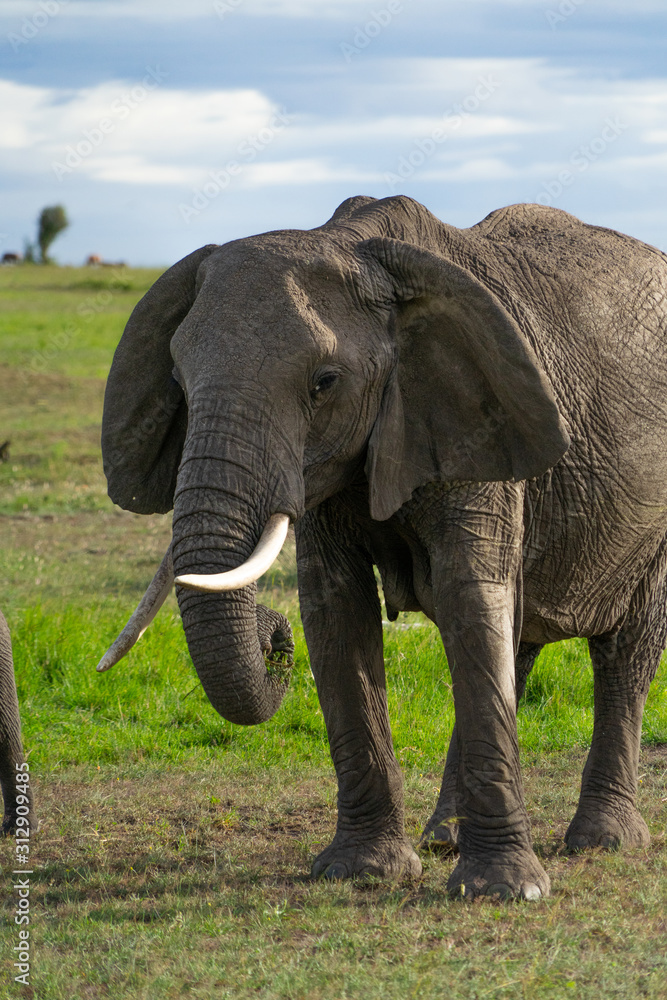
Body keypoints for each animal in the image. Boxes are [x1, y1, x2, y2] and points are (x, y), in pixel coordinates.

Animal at [98, 194, 667, 900]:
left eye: (324, 382)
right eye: (176, 376)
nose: (271, 635)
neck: (357, 245)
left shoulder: (472, 421)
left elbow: (470, 597)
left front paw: (504, 892)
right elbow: (335, 612)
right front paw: (362, 871)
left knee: (625, 647)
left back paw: (603, 840)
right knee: (516, 640)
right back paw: (443, 837)